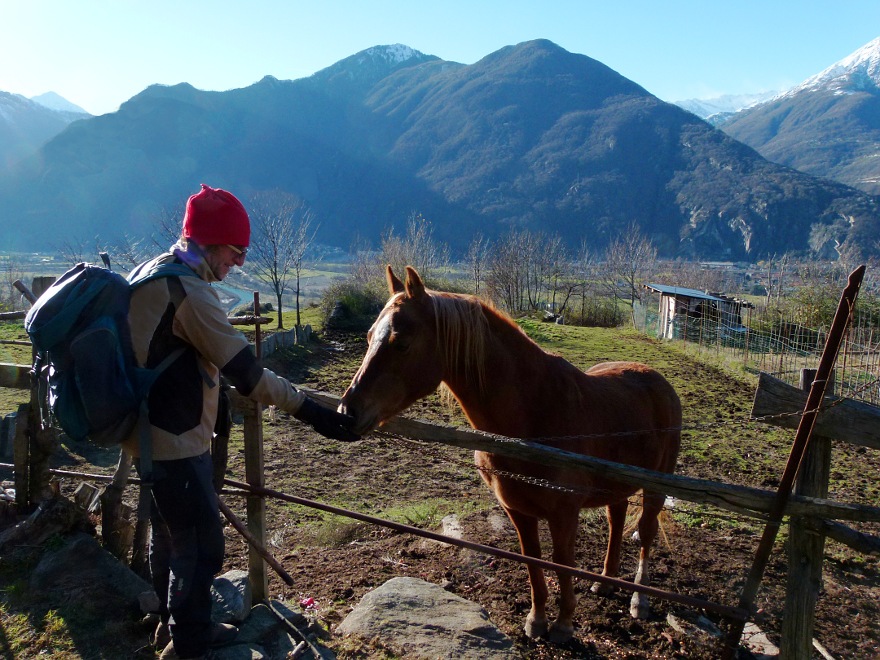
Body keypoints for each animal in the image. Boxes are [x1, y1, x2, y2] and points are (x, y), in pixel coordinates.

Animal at [339, 265, 682, 643]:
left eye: (400, 343)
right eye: (369, 336)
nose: (347, 412)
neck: (534, 416)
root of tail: (658, 380)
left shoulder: (564, 514)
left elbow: (562, 563)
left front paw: (564, 624)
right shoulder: (518, 511)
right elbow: (533, 562)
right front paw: (537, 620)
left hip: (655, 488)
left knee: (646, 534)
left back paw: (639, 600)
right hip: (615, 485)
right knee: (616, 519)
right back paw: (605, 582)